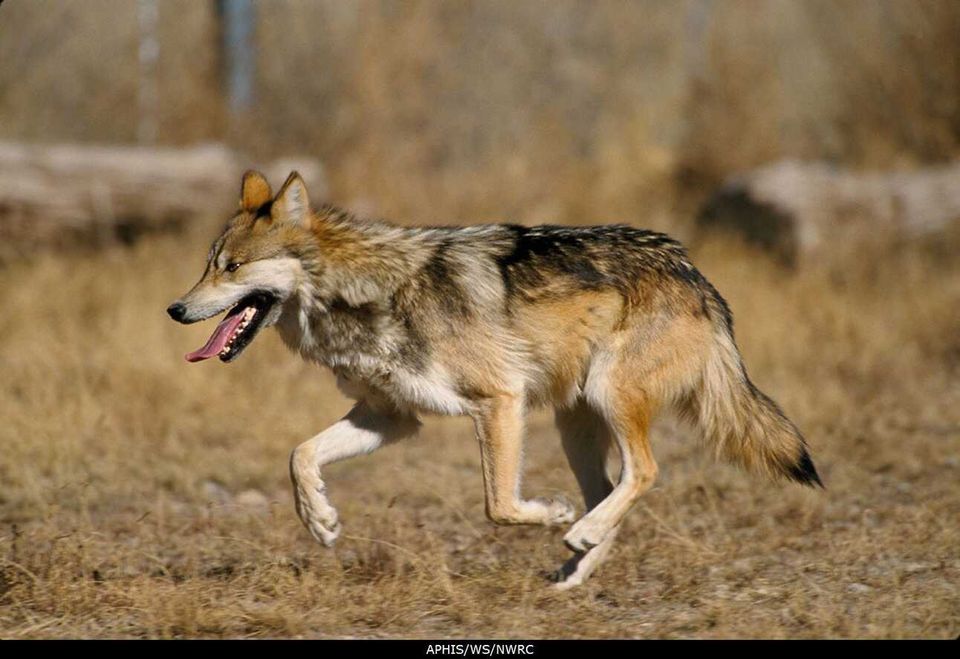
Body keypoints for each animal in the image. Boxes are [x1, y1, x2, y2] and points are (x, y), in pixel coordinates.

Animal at [167, 170, 821, 589]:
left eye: (233, 267)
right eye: (207, 265)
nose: (175, 309)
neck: (365, 292)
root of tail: (694, 273)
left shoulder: (499, 401)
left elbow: (499, 506)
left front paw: (550, 514)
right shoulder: (391, 417)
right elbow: (299, 455)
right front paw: (321, 521)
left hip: (607, 398)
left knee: (644, 472)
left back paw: (576, 532)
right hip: (575, 425)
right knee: (611, 489)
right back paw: (575, 567)